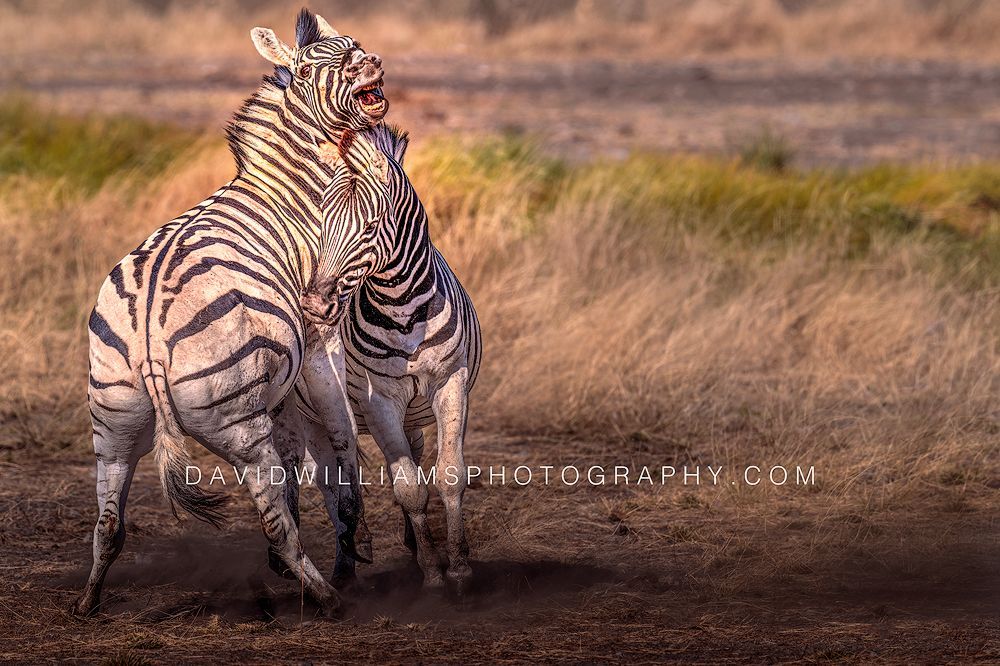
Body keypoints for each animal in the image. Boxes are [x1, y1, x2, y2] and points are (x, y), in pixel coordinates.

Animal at [74, 10, 390, 618]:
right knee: (275, 522)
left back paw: (89, 601)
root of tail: (149, 331)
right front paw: (354, 540)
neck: (297, 189)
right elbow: (340, 433)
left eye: (355, 46)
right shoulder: (320, 332)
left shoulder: (283, 368)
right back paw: (324, 597)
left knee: (107, 521)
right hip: (238, 425)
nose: (374, 63)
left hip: (115, 416)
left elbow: (300, 450)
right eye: (313, 68)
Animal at [302, 124, 482, 592]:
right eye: (320, 222)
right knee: (330, 487)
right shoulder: (378, 400)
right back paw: (343, 566)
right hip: (305, 418)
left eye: (368, 227)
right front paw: (434, 574)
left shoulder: (450, 382)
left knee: (411, 457)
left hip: (412, 414)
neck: (402, 309)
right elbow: (408, 488)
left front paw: (459, 567)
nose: (314, 305)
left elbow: (449, 474)